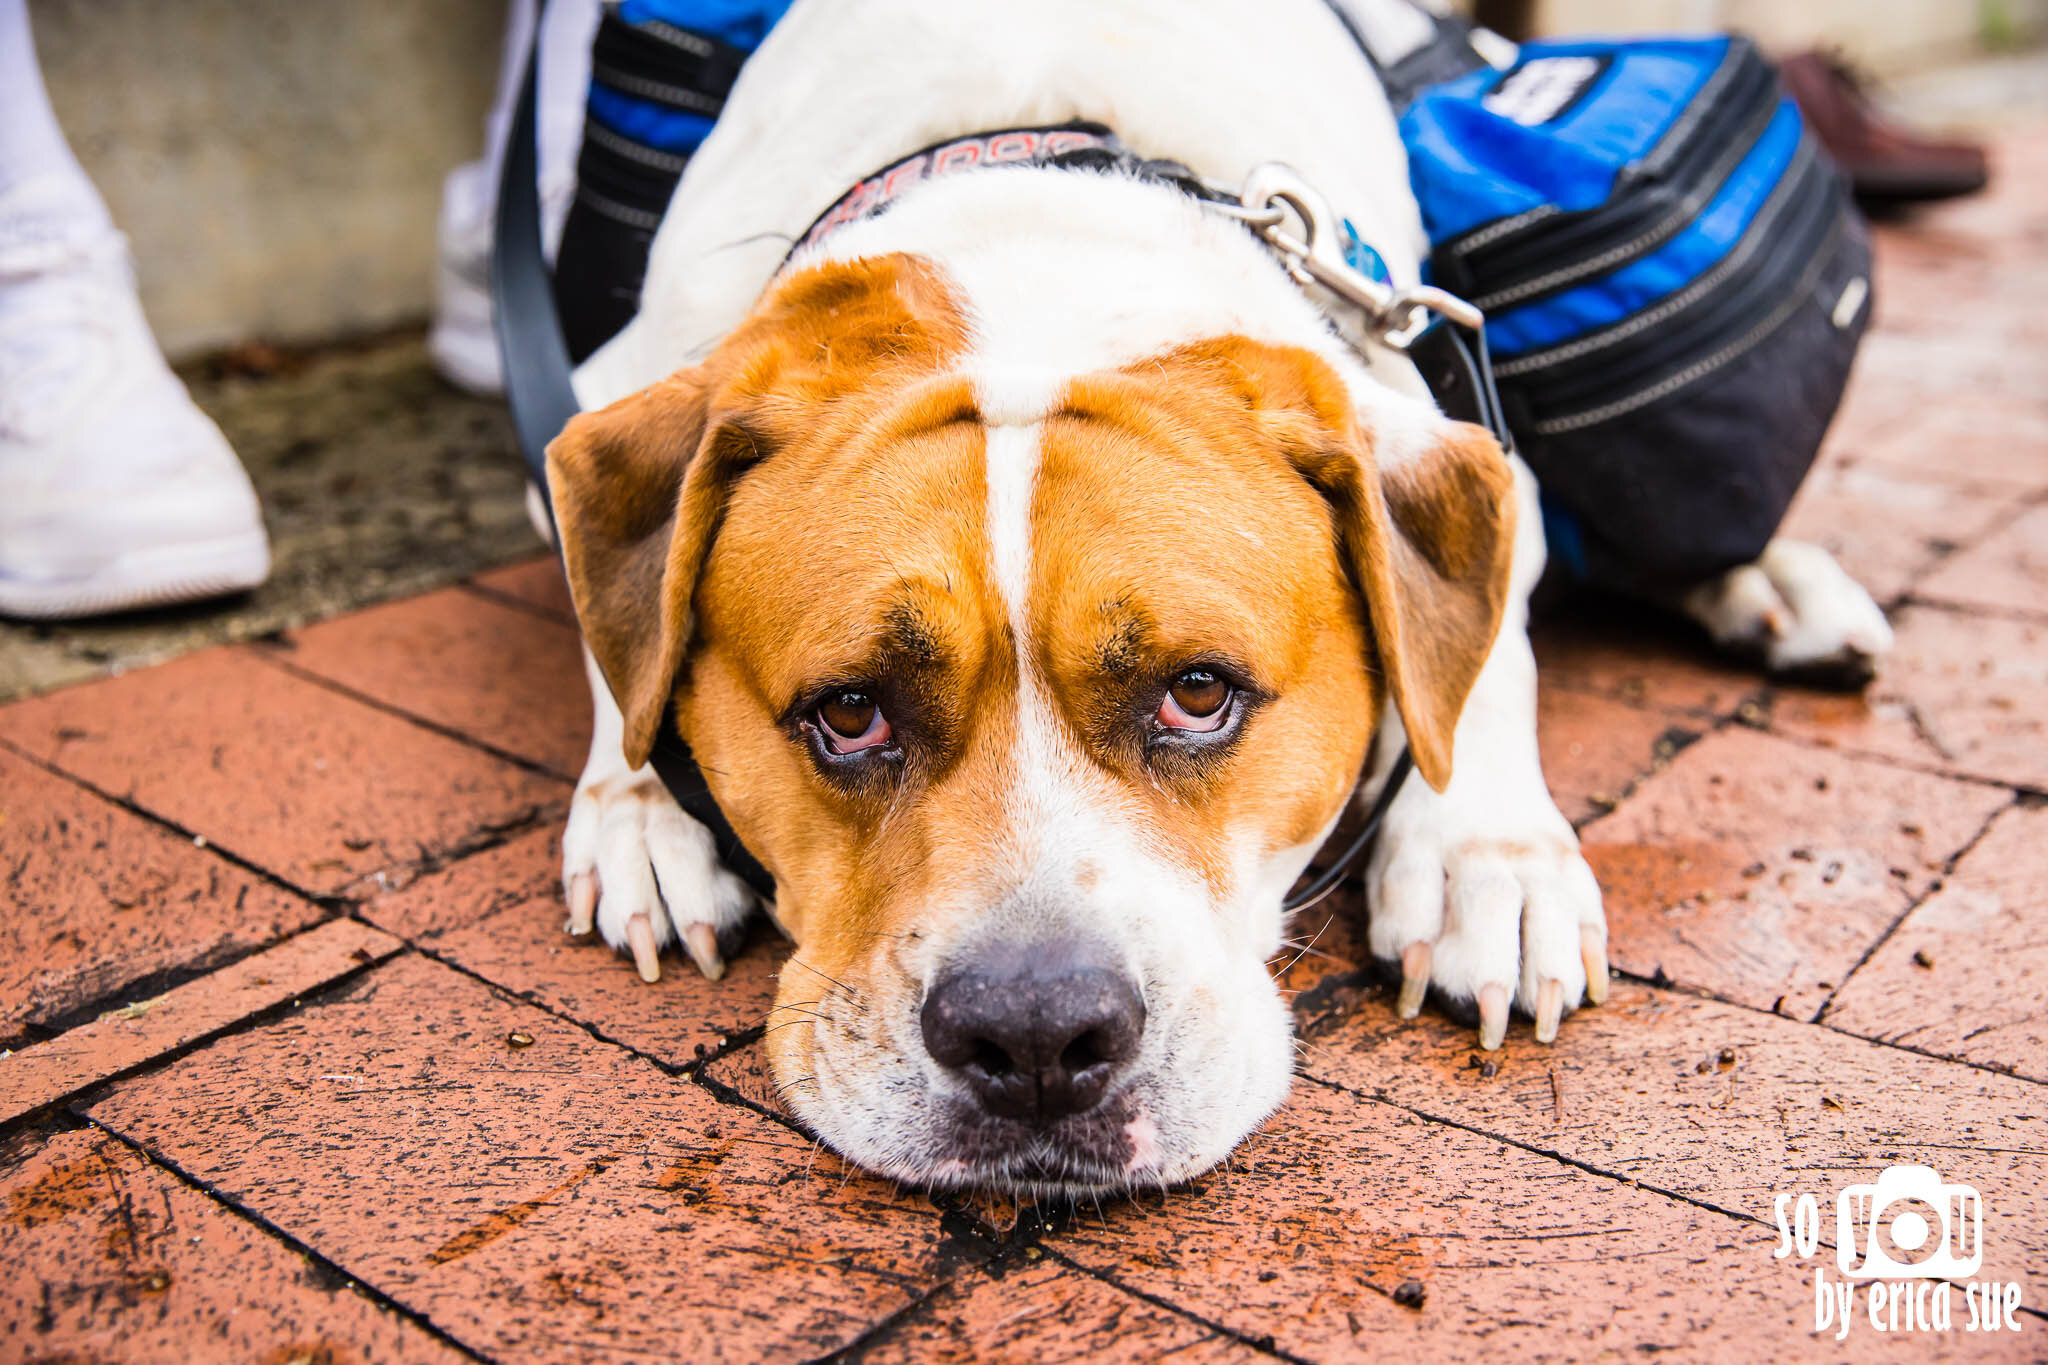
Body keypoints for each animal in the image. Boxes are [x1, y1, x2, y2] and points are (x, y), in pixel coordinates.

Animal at [532, 0, 1884, 1195]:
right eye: (849, 713)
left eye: (1196, 694)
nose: (1035, 1036)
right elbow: (612, 639)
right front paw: (637, 808)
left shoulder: (1465, 447)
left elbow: (1489, 652)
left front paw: (1485, 857)